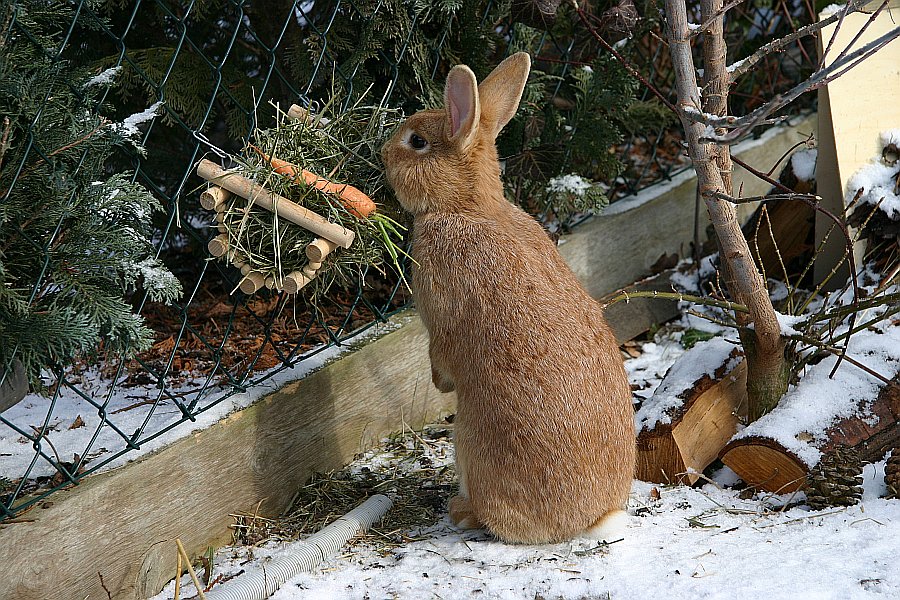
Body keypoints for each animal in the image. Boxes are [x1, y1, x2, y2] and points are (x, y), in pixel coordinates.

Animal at [384, 54, 636, 548]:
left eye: (417, 141)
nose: (383, 153)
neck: (467, 208)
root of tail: (589, 518)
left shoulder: (439, 314)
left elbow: (441, 350)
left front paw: (440, 382)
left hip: (470, 445)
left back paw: (461, 511)